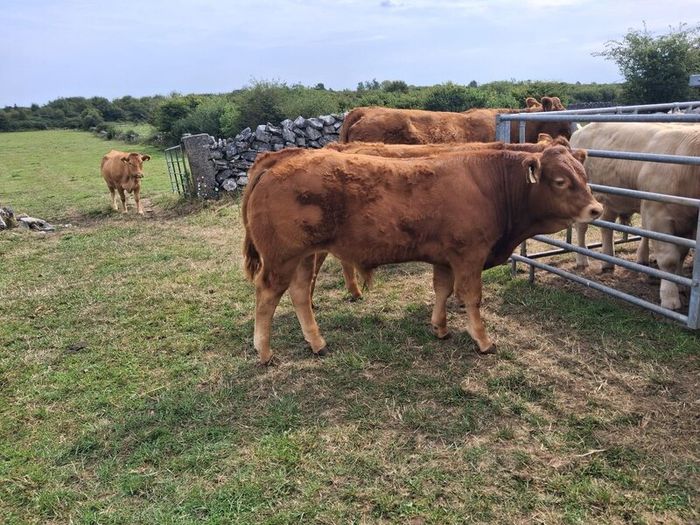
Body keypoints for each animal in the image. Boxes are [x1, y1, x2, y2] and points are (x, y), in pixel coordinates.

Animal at [242, 146, 602, 365]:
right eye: (560, 180)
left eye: (585, 176)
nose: (596, 208)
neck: (491, 186)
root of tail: (280, 160)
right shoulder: (470, 255)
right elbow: (471, 297)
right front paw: (483, 340)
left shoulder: (445, 258)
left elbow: (442, 289)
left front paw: (440, 328)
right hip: (281, 257)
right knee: (267, 295)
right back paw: (265, 351)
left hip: (303, 255)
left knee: (300, 293)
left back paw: (317, 343)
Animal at [571, 122, 700, 310]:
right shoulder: (657, 215)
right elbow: (669, 259)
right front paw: (670, 298)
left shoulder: (690, 222)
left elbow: (682, 253)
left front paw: (681, 283)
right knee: (581, 227)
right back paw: (582, 259)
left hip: (611, 199)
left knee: (607, 226)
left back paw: (607, 261)